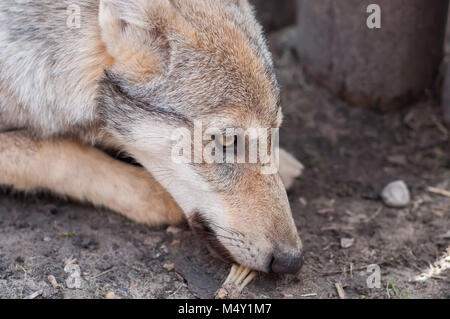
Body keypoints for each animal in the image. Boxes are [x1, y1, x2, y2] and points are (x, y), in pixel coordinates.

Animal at [0, 0, 304, 276]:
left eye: (275, 130)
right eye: (228, 141)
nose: (292, 261)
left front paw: (284, 163)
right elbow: (59, 152)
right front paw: (160, 197)